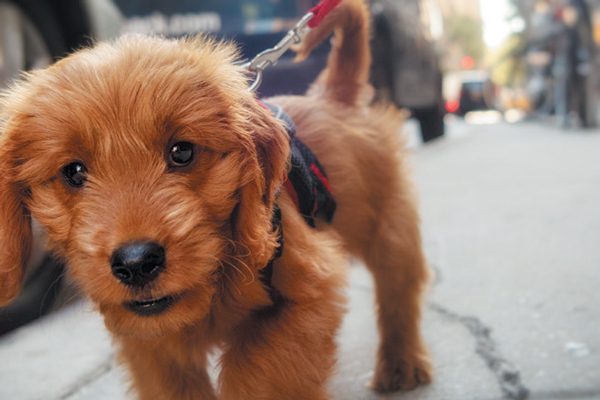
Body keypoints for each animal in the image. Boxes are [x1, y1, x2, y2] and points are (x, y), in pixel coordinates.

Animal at [0, 1, 432, 398]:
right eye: (73, 172)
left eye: (182, 152)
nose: (136, 263)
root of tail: (334, 95)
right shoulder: (149, 344)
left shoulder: (310, 289)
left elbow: (257, 373)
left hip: (390, 225)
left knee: (399, 292)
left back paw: (401, 364)